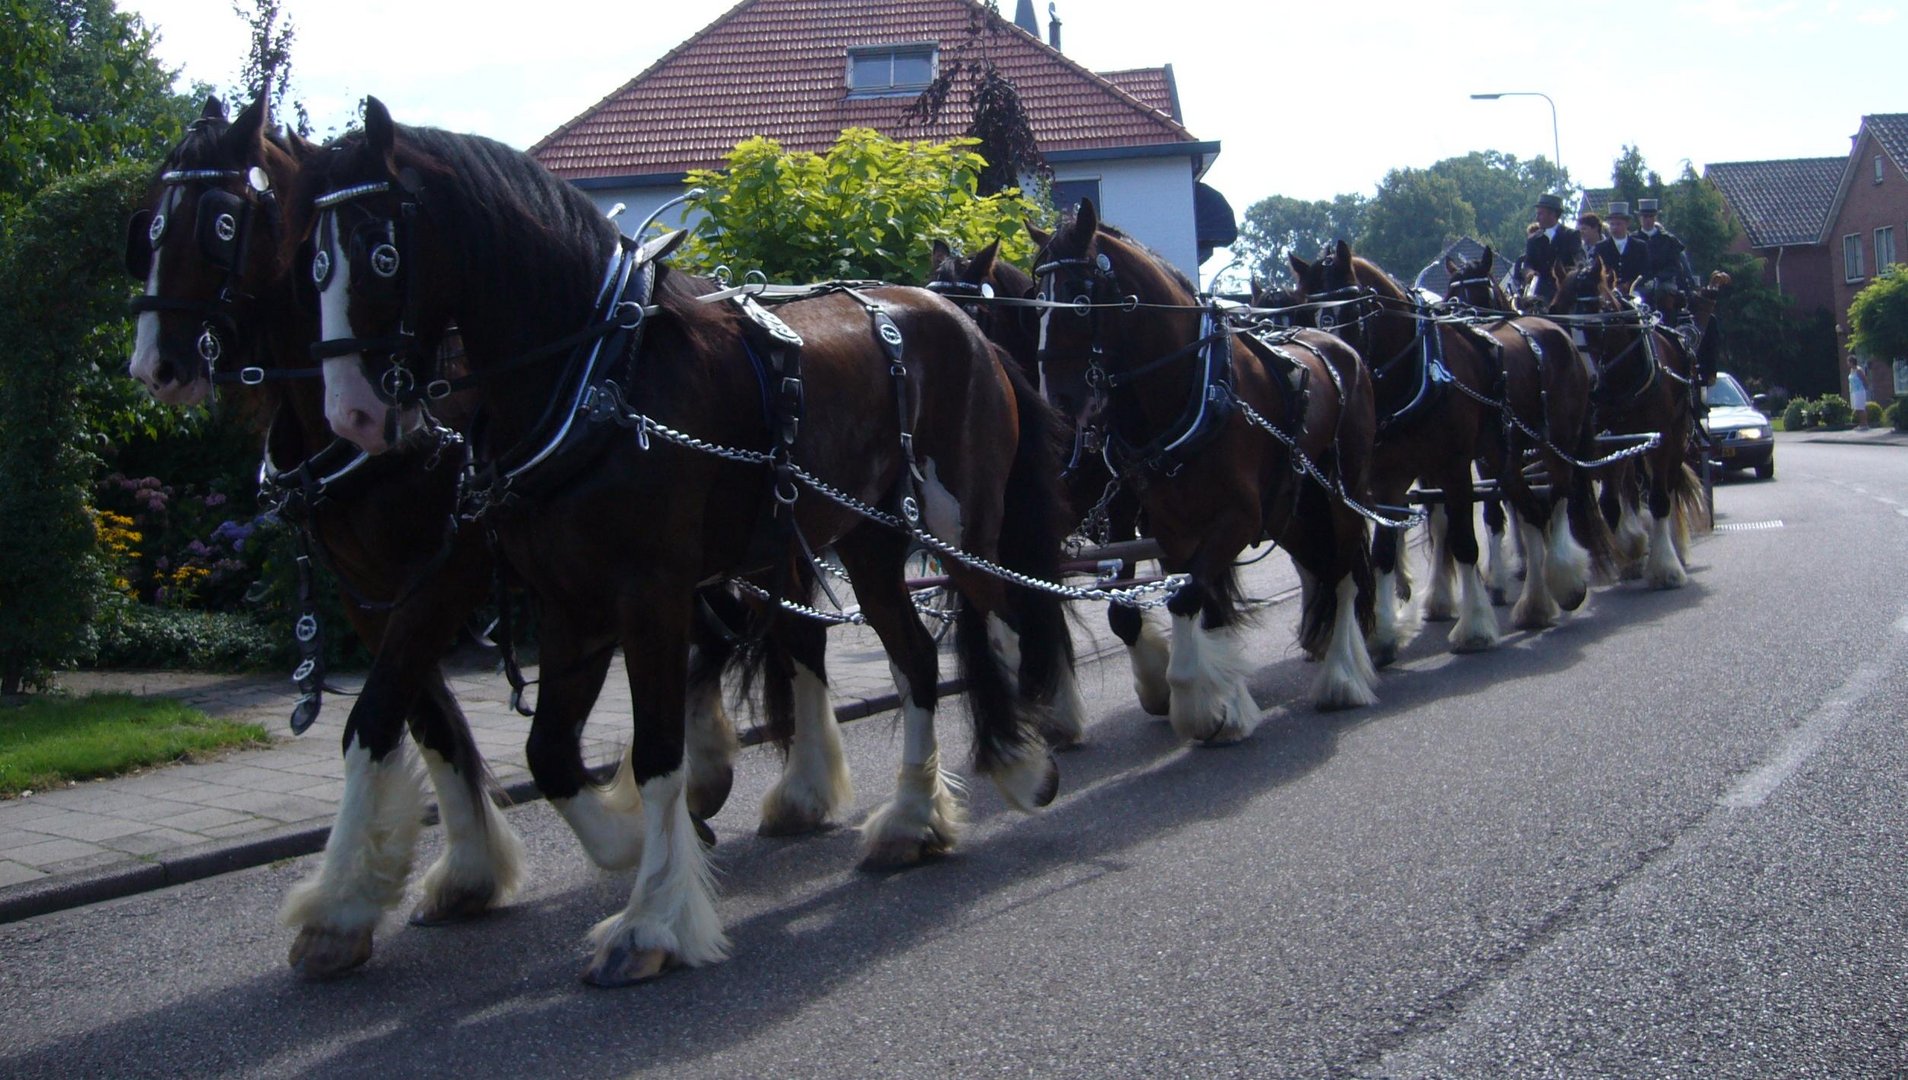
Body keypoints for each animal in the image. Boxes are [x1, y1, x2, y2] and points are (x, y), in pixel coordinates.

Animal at [293, 101, 1076, 992]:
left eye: (382, 251)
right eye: (310, 261)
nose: (350, 416)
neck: (601, 373)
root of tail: (968, 328)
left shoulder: (652, 595)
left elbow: (658, 750)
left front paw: (652, 920)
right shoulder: (568, 603)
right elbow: (542, 751)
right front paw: (632, 848)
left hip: (955, 526)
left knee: (992, 618)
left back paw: (1025, 758)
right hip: (872, 543)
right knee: (915, 660)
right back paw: (913, 819)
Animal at [1022, 199, 1381, 740]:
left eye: (1080, 297)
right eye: (1034, 300)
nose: (1059, 407)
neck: (1193, 386)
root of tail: (1343, 349)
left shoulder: (1237, 519)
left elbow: (1187, 598)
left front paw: (1198, 704)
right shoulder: (1171, 527)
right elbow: (1180, 601)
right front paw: (1216, 699)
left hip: (1342, 492)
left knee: (1342, 573)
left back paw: (1341, 677)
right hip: (1294, 510)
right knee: (1320, 566)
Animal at [1289, 239, 1602, 667]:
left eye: (1350, 309)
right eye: (1304, 312)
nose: (1328, 367)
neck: (1418, 368)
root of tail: (1555, 329)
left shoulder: (1454, 469)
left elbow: (1464, 541)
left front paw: (1474, 628)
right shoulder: (1387, 482)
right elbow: (1383, 553)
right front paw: (1383, 637)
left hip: (1555, 442)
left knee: (1557, 496)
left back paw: (1566, 581)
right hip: (1501, 457)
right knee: (1530, 510)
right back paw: (1536, 604)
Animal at [1541, 257, 1709, 587]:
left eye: (1601, 311)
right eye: (1555, 309)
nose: (1587, 380)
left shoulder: (1663, 439)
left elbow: (1659, 498)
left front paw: (1665, 567)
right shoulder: (1606, 443)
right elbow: (1610, 504)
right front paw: (1631, 550)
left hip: (1678, 434)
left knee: (1669, 486)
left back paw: (1675, 547)